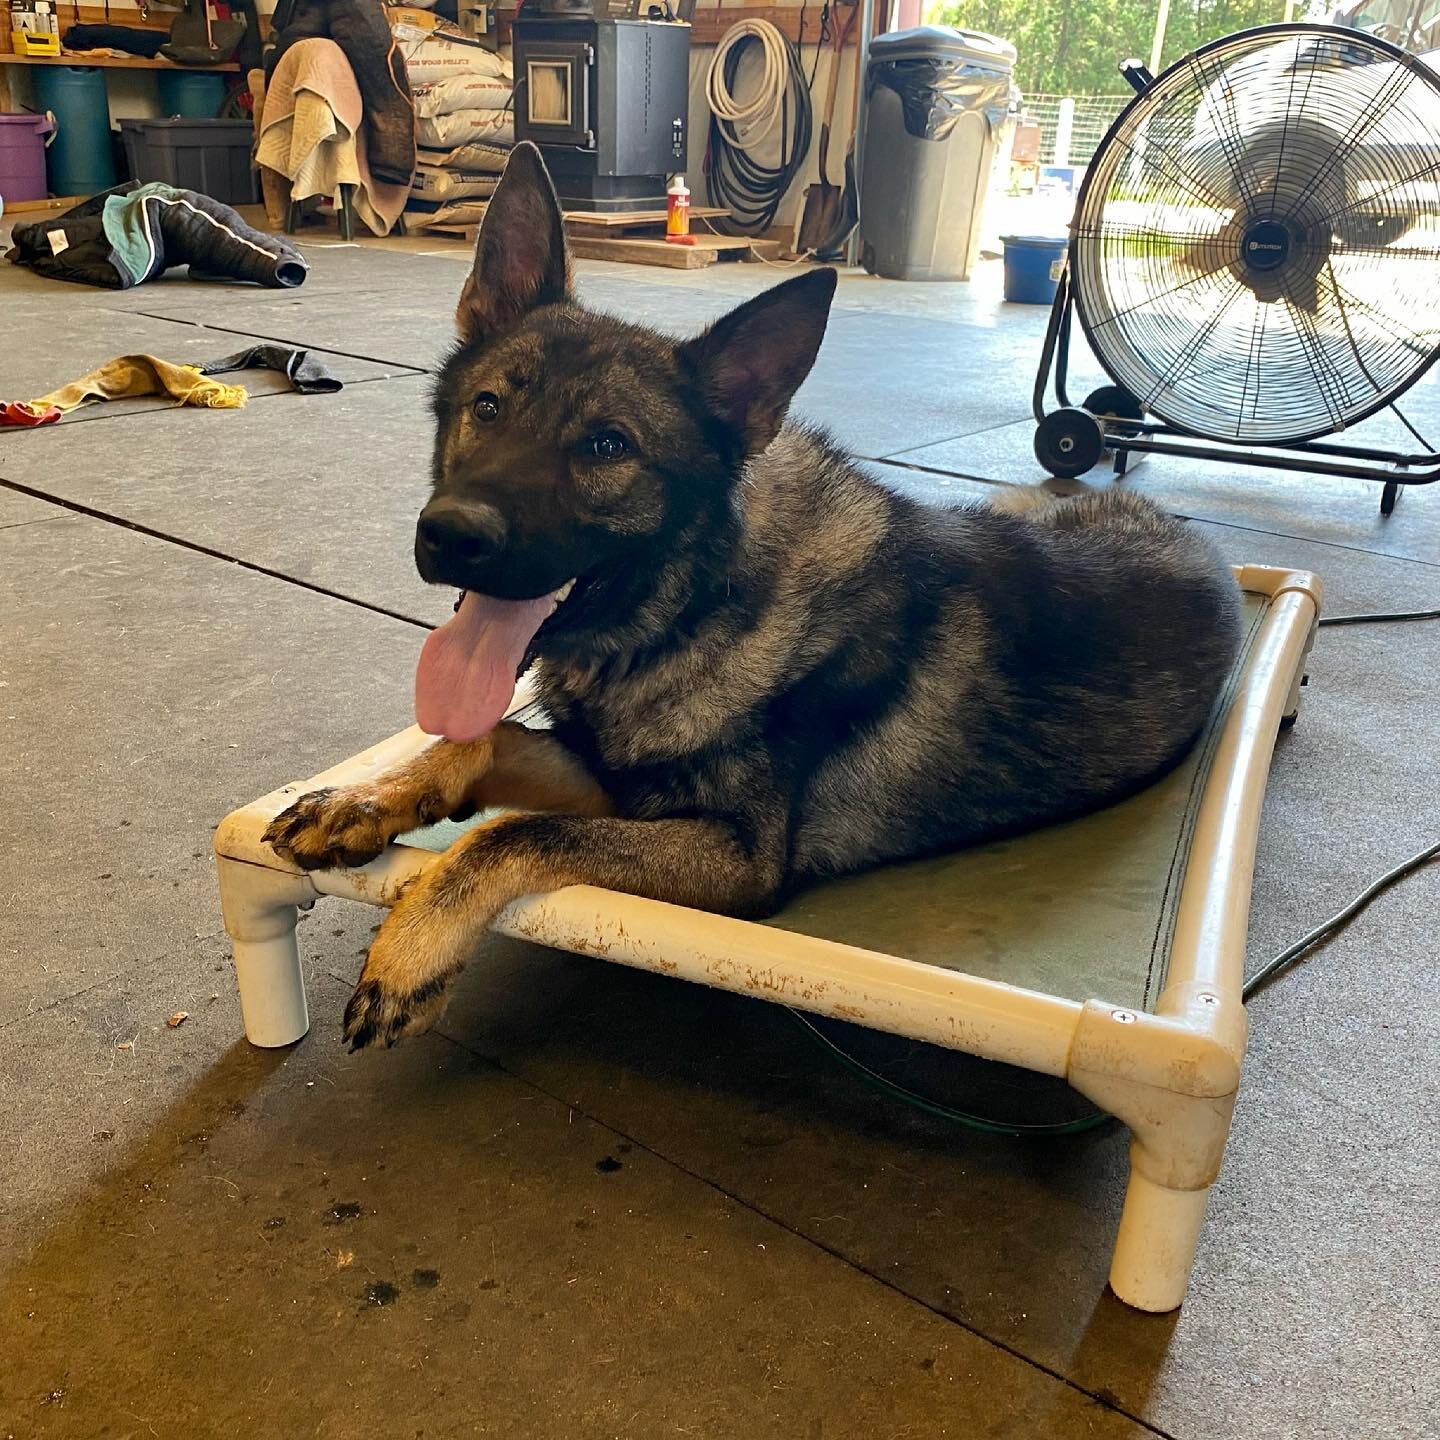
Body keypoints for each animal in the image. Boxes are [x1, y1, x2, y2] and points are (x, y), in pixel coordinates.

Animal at [264, 143, 1244, 1048]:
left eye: (609, 446)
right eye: (489, 406)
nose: (449, 536)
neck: (696, 612)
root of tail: (1192, 532)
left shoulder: (735, 854)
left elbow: (514, 834)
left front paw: (411, 946)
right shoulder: (613, 781)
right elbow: (485, 736)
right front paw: (364, 800)